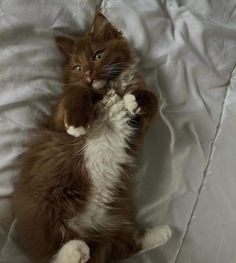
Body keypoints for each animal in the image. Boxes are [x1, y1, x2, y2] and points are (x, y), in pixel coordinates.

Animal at [12, 12, 171, 263]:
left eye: (98, 55)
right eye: (77, 67)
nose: (88, 74)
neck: (109, 89)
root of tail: (85, 230)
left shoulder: (136, 134)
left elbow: (153, 98)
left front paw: (135, 99)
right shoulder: (57, 119)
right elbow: (77, 91)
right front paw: (78, 124)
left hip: (118, 219)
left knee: (125, 246)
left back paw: (162, 232)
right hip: (45, 210)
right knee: (52, 253)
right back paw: (75, 251)